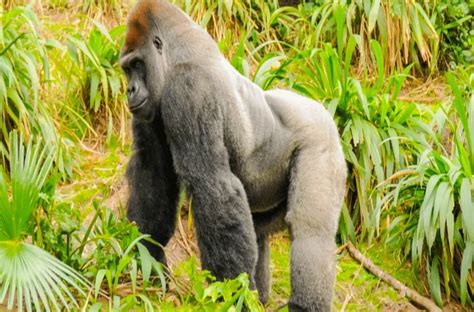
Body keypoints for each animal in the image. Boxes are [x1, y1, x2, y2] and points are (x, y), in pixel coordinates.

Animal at [120, 0, 346, 310]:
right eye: (126, 69)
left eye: (137, 65)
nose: (129, 90)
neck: (178, 54)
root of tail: (321, 108)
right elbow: (153, 173)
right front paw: (145, 253)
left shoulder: (190, 90)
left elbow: (211, 184)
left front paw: (228, 292)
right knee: (258, 232)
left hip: (322, 140)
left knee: (311, 231)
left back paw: (302, 302)